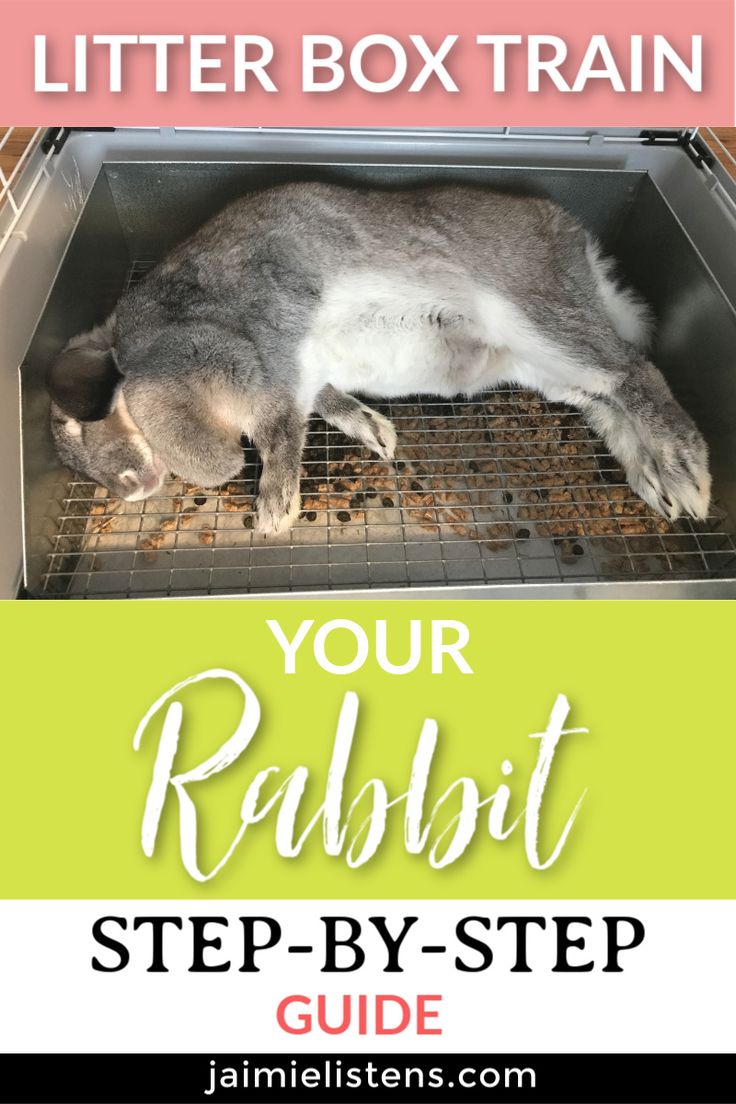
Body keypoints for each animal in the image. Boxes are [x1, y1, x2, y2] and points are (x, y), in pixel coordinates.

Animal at [47, 182, 715, 534]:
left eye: (80, 422)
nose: (133, 492)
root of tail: (578, 244)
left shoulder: (254, 349)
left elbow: (271, 432)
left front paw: (273, 509)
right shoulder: (304, 372)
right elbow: (323, 403)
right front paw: (376, 433)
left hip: (533, 314)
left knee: (634, 371)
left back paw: (687, 477)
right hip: (541, 366)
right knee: (608, 397)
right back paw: (657, 485)